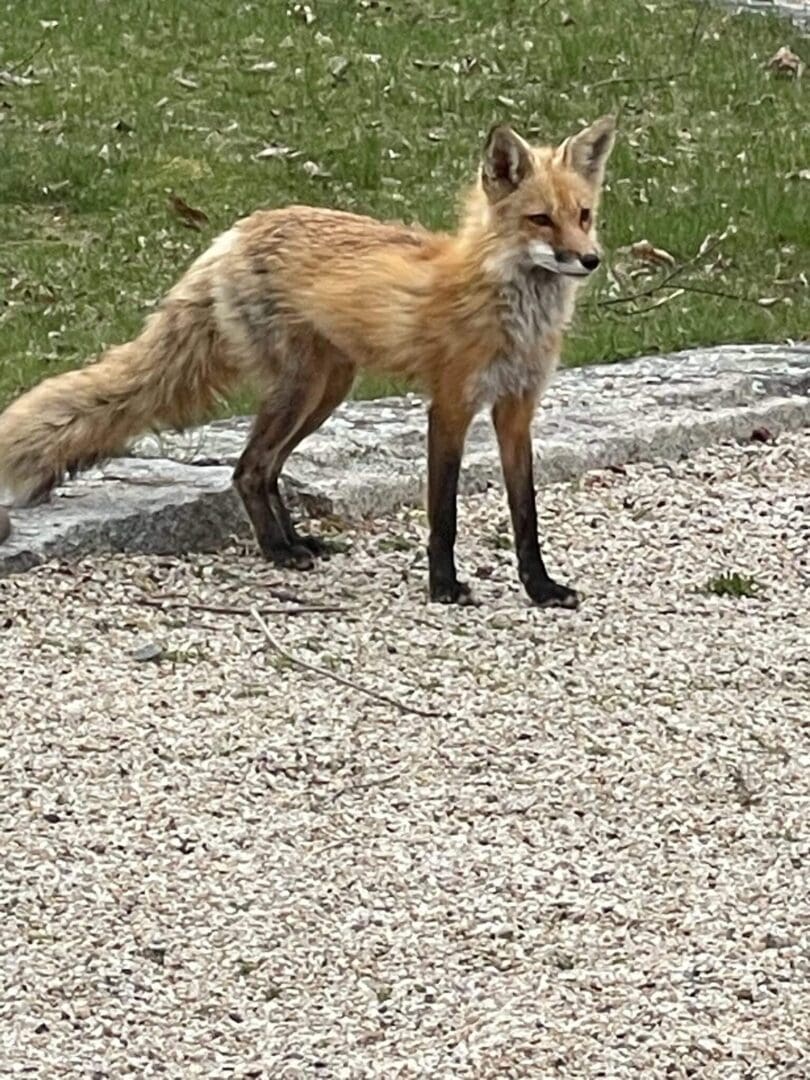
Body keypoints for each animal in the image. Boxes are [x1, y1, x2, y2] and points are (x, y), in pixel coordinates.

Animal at [0, 116, 615, 607]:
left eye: (584, 215)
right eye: (540, 220)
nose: (590, 259)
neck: (506, 304)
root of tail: (233, 233)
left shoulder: (517, 408)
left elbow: (525, 512)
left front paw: (540, 587)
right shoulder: (450, 405)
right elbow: (443, 513)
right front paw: (443, 586)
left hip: (326, 391)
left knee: (266, 468)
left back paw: (295, 541)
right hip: (298, 390)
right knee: (248, 468)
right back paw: (278, 550)